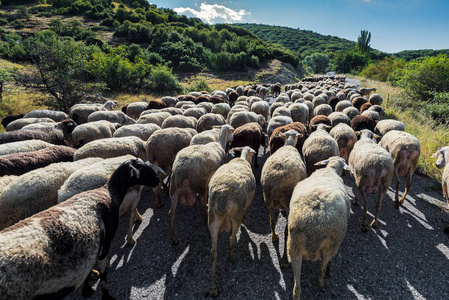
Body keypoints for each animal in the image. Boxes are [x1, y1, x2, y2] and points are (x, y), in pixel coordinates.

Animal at [206, 146, 256, 296]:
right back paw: (233, 256)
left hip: (212, 220)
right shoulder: (245, 206)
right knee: (231, 240)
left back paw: (213, 287)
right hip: (235, 216)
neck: (242, 159)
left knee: (213, 252)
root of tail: (223, 198)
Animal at [260, 129, 306, 268]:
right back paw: (285, 260)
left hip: (268, 198)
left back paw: (274, 236)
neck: (289, 144)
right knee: (286, 232)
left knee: (272, 221)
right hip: (287, 202)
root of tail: (276, 184)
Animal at [288, 156, 350, 298]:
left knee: (296, 289)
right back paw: (321, 282)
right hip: (331, 246)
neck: (330, 170)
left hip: (294, 248)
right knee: (322, 269)